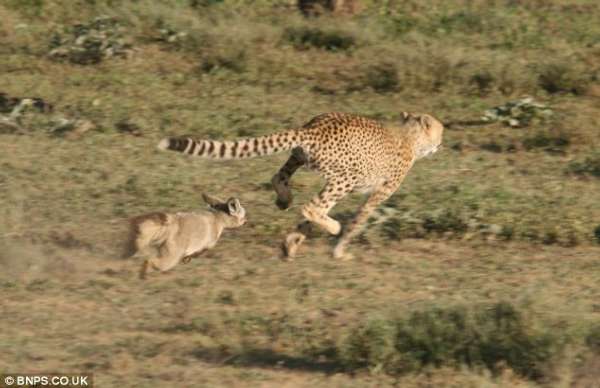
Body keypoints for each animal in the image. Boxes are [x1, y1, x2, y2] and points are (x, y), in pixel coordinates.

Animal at [157, 110, 442, 260]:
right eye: (439, 132)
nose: (441, 144)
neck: (409, 135)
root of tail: (313, 126)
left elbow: (304, 225)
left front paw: (292, 243)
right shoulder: (378, 193)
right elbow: (356, 222)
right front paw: (339, 251)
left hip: (299, 156)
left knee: (280, 179)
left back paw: (284, 199)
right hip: (345, 177)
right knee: (312, 207)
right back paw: (332, 226)